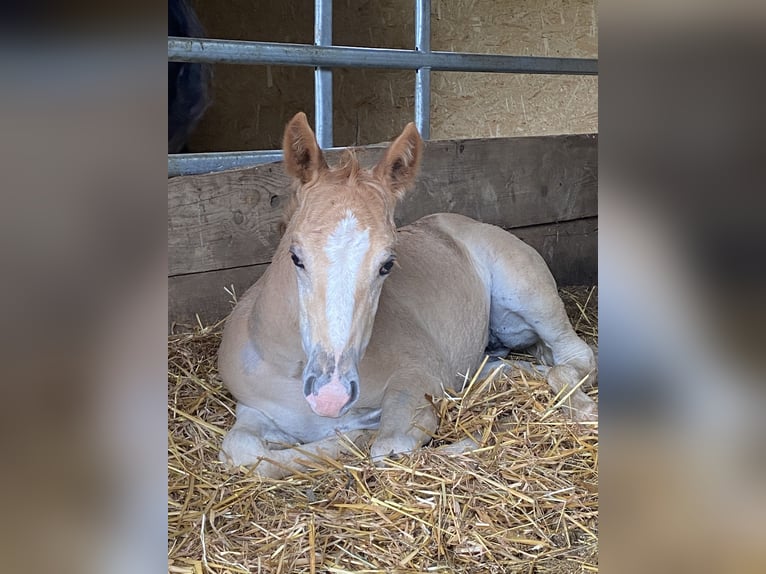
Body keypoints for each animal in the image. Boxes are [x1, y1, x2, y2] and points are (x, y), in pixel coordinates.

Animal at [218, 111, 600, 476]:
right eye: (296, 257)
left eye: (387, 264)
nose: (331, 395)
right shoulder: (251, 410)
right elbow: (243, 453)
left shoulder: (417, 379)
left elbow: (390, 450)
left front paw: (360, 435)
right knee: (515, 368)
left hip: (529, 293)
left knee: (573, 359)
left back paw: (581, 406)